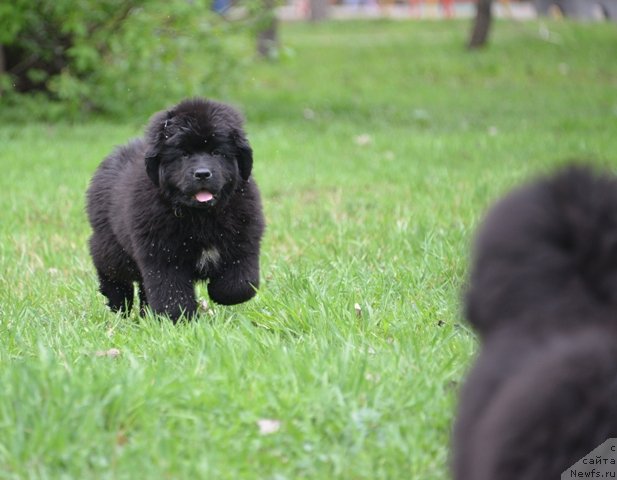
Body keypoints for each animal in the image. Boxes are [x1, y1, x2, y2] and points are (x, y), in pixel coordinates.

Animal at [85, 97, 264, 322]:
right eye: (184, 154)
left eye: (217, 152)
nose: (202, 173)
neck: (201, 217)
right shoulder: (162, 255)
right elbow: (171, 291)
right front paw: (179, 318)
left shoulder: (243, 239)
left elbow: (240, 285)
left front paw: (218, 293)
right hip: (112, 245)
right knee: (110, 269)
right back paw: (118, 303)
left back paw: (145, 314)